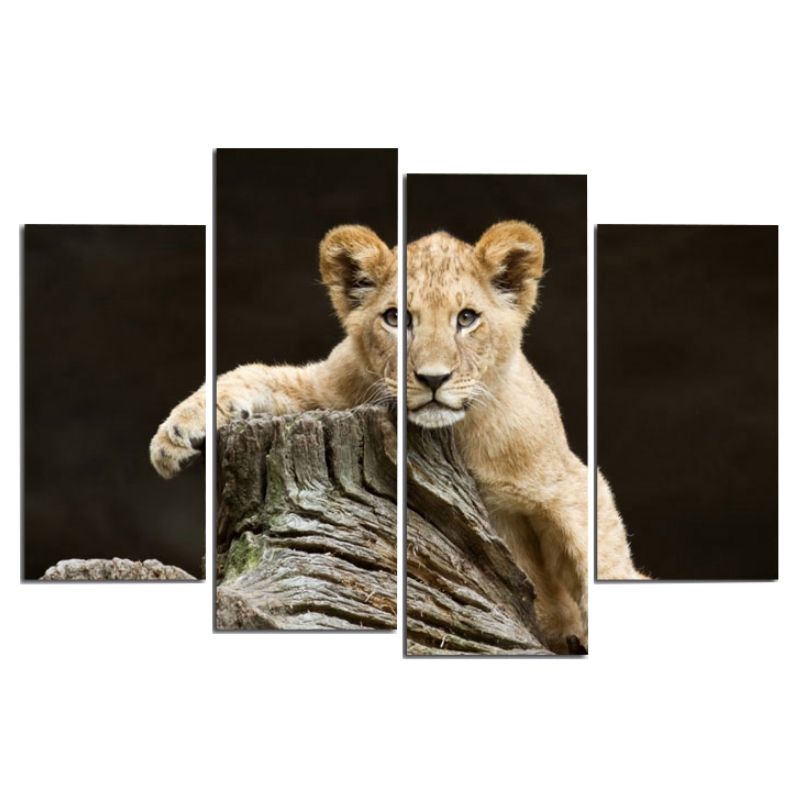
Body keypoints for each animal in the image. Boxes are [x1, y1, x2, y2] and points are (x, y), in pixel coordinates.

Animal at [150, 222, 644, 653]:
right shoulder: (327, 390)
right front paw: (174, 435)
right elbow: (252, 375)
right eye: (396, 318)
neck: (457, 433)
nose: (433, 378)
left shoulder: (571, 484)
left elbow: (600, 559)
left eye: (467, 318)